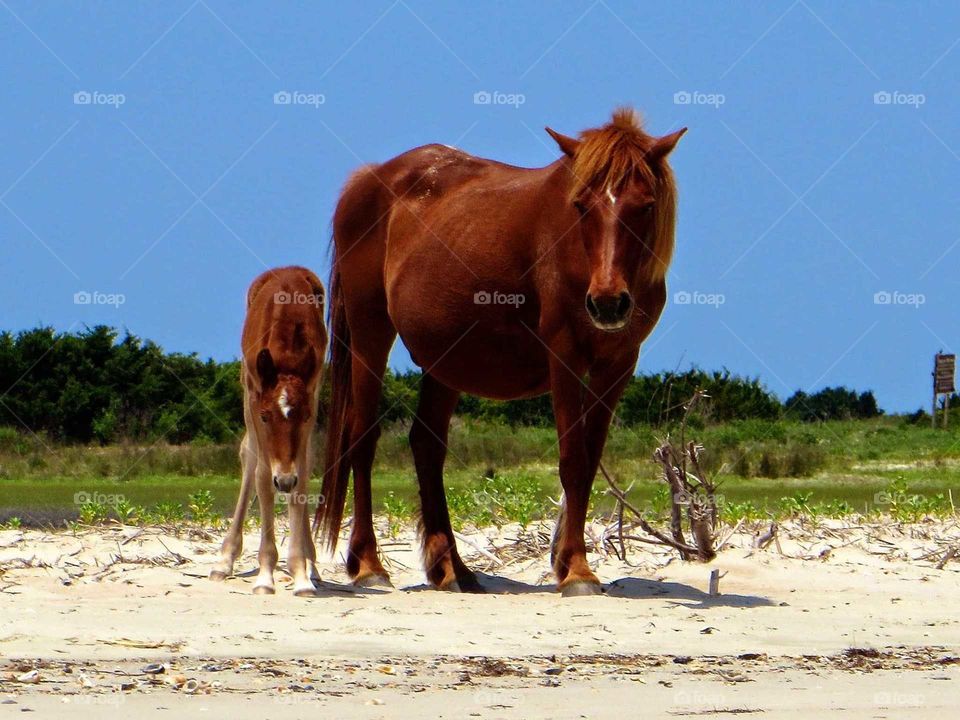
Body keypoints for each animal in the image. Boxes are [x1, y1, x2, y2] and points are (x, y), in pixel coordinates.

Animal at [211, 266, 327, 597]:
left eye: (305, 415)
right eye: (265, 416)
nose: (283, 480)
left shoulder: (313, 391)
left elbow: (302, 475)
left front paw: (301, 573)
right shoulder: (253, 396)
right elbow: (262, 478)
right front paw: (265, 575)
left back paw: (311, 565)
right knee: (249, 456)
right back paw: (225, 560)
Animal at [315, 108, 684, 596]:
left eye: (645, 206)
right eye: (582, 206)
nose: (607, 303)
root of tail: (368, 180)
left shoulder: (618, 366)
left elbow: (589, 463)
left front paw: (567, 562)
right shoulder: (564, 356)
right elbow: (572, 460)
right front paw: (576, 571)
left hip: (445, 360)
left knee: (426, 447)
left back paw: (451, 569)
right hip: (370, 333)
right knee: (362, 437)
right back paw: (369, 565)